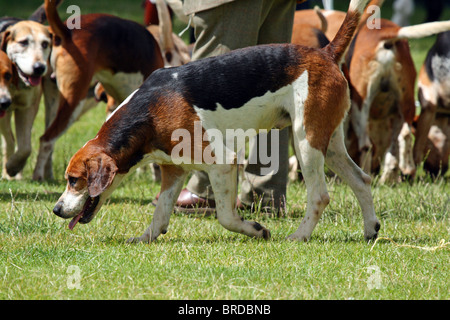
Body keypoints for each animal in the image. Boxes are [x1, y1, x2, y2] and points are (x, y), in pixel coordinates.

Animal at [0, 19, 51, 180]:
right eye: (23, 42)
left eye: (45, 44)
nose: (39, 67)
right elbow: (11, 141)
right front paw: (9, 169)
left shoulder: (27, 108)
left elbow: (25, 147)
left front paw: (13, 167)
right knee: (9, 140)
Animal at [32, 0, 164, 181]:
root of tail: (67, 31)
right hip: (74, 101)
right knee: (47, 139)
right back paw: (37, 176)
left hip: (52, 101)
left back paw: (48, 175)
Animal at [52, 0, 382, 244]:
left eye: (74, 180)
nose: (55, 209)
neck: (147, 111)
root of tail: (326, 52)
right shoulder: (173, 169)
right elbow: (160, 214)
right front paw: (145, 238)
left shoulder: (222, 162)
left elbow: (225, 216)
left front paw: (255, 230)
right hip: (330, 143)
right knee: (362, 180)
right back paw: (370, 230)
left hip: (306, 143)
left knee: (320, 196)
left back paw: (299, 236)